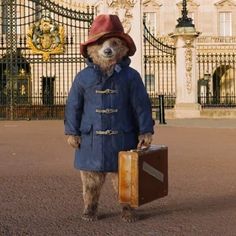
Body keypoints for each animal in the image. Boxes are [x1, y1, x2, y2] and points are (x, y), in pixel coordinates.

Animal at [64, 13, 154, 222]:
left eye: (114, 41)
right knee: (91, 182)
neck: (105, 69)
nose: (107, 50)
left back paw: (128, 212)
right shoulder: (79, 82)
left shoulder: (135, 81)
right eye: (99, 42)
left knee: (121, 182)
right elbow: (74, 103)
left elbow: (140, 104)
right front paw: (73, 138)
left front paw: (145, 137)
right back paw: (89, 211)